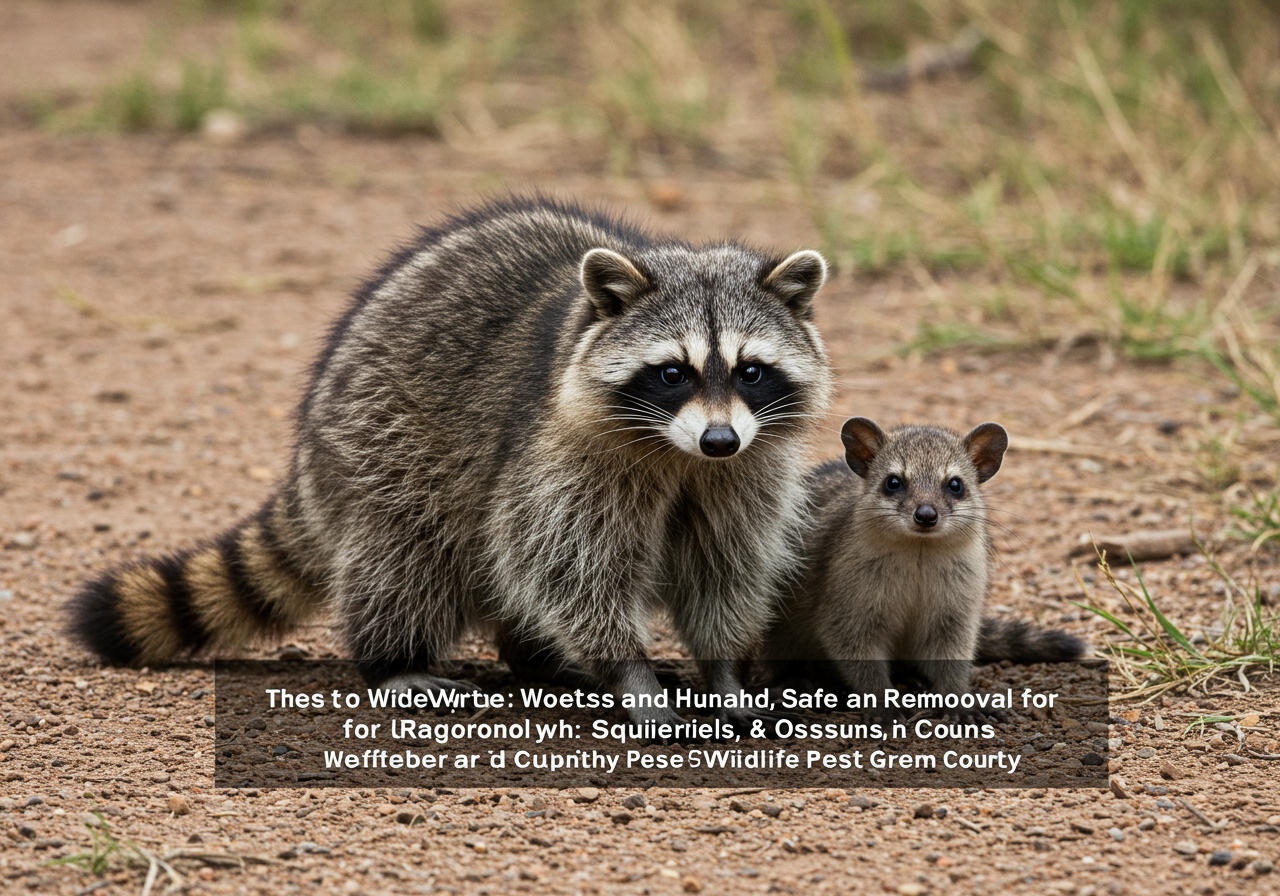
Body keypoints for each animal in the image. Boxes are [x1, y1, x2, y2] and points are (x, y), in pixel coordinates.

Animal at [67, 197, 834, 730]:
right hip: (383, 446)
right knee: (408, 556)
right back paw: (394, 662)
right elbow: (569, 568)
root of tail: (311, 443)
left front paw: (723, 671)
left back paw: (539, 660)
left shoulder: (747, 472)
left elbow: (725, 568)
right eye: (673, 373)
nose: (719, 440)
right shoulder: (558, 456)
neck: (680, 458)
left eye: (751, 371)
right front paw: (632, 676)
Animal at [760, 417, 1087, 703]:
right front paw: (880, 699)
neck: (920, 552)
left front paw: (957, 698)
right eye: (893, 482)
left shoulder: (956, 606)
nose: (926, 515)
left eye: (955, 485)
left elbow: (952, 652)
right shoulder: (846, 601)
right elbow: (853, 646)